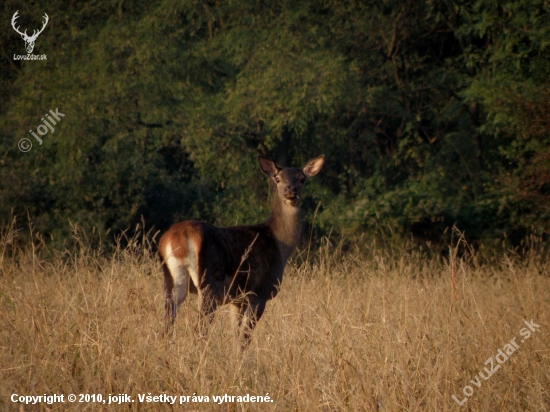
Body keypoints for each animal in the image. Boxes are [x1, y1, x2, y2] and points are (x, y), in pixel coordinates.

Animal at [157, 154, 326, 344]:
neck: (280, 246)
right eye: (277, 179)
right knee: (200, 329)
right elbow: (245, 338)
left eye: (302, 179)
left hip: (171, 277)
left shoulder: (236, 300)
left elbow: (236, 336)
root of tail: (177, 236)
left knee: (167, 320)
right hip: (210, 282)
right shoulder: (259, 293)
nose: (290, 190)